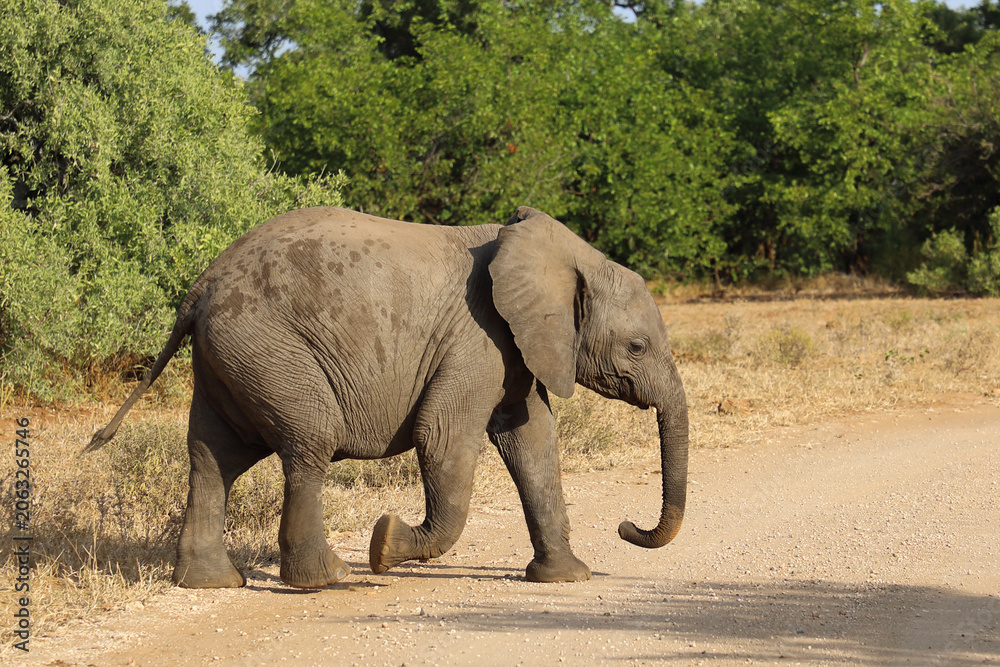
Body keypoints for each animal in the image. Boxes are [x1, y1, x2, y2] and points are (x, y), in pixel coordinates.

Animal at [86, 205, 689, 589]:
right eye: (636, 347)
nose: (627, 527)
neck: (564, 257)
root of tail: (200, 288)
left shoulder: (515, 348)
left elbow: (533, 441)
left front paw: (566, 579)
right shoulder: (478, 338)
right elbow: (442, 437)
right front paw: (385, 544)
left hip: (229, 359)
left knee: (213, 458)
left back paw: (209, 584)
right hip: (266, 348)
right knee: (309, 442)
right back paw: (330, 579)